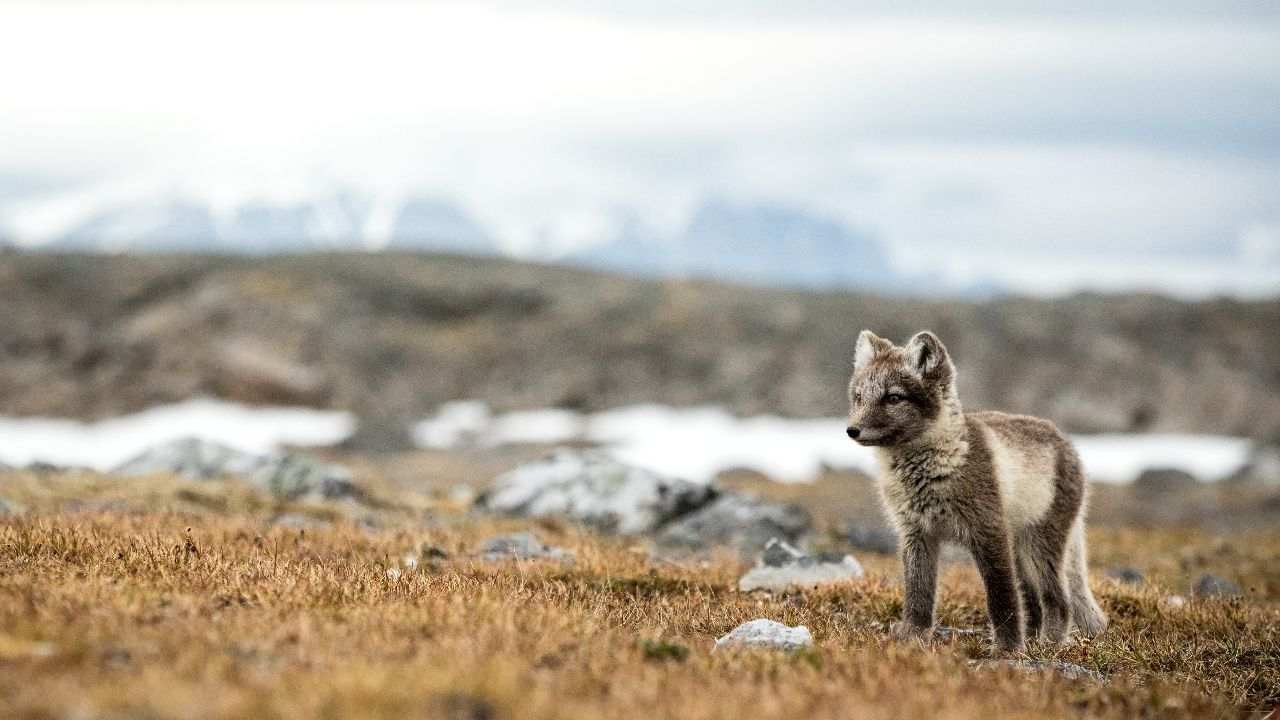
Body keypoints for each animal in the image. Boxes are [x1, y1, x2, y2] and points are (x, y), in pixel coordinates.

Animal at [844, 330, 1105, 650]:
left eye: (893, 398)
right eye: (859, 397)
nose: (852, 430)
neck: (930, 471)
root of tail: (1068, 443)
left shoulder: (988, 531)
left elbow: (1002, 597)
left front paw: (1007, 649)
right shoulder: (916, 534)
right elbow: (918, 596)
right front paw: (913, 639)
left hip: (1039, 546)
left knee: (1058, 598)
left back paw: (1049, 643)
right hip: (1020, 550)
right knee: (1033, 600)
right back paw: (1032, 639)